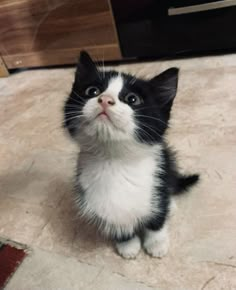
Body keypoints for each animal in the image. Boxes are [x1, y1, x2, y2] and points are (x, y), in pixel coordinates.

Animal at [63, 51, 198, 260]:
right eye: (92, 91)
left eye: (132, 99)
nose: (105, 99)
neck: (114, 160)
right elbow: (119, 222)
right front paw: (128, 245)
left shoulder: (157, 178)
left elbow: (156, 219)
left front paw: (156, 244)